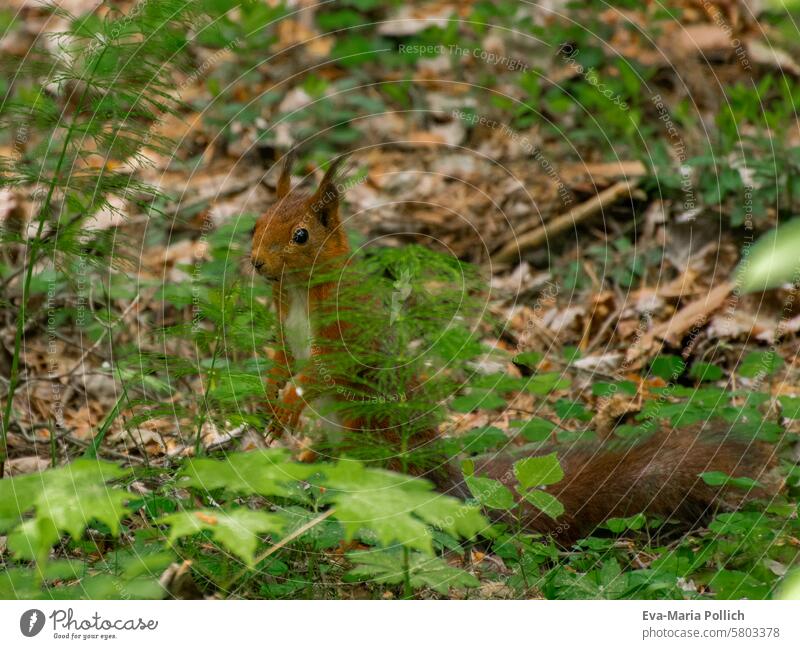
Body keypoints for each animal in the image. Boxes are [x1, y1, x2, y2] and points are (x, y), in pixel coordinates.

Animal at [252, 152, 780, 540]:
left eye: (301, 235)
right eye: (258, 224)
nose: (255, 262)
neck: (298, 291)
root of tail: (450, 486)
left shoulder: (347, 333)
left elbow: (326, 370)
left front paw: (289, 401)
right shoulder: (285, 329)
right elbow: (283, 361)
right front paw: (270, 401)